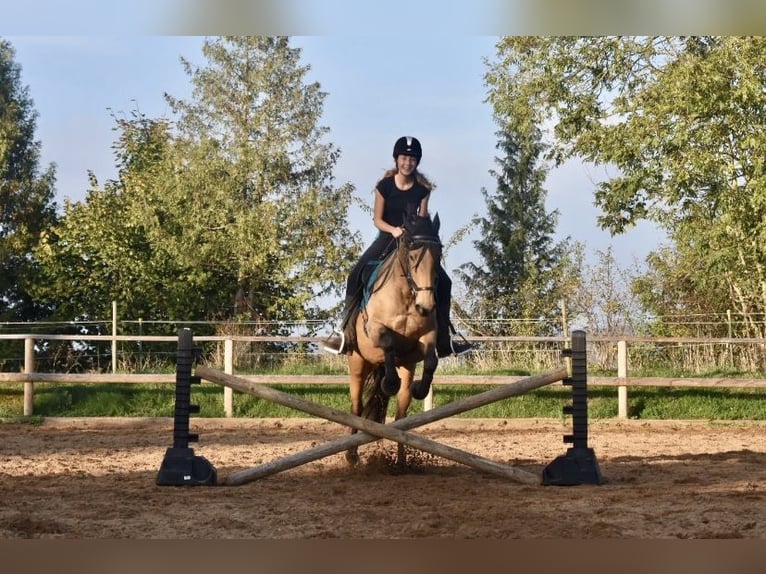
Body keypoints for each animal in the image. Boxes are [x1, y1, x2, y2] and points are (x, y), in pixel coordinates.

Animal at [348, 214, 444, 466]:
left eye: (439, 254)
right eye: (411, 255)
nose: (425, 306)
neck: (407, 296)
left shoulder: (427, 336)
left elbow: (431, 360)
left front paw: (421, 388)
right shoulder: (375, 328)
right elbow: (388, 343)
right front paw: (390, 382)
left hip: (407, 367)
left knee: (401, 416)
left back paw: (401, 462)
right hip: (358, 364)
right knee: (356, 408)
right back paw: (351, 456)